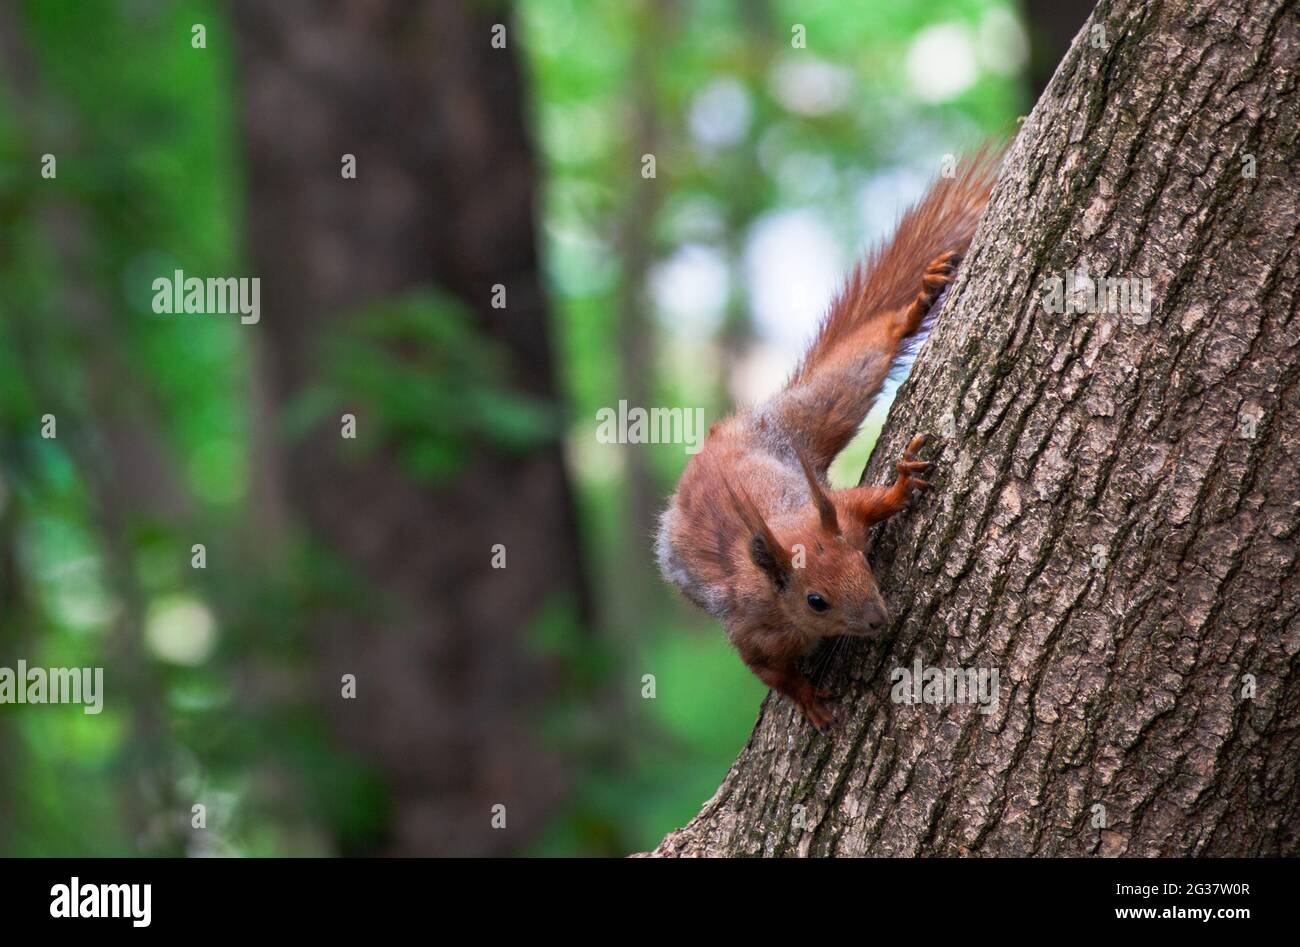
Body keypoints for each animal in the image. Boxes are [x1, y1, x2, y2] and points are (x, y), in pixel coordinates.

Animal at [655, 152, 1000, 732]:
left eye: (861, 561)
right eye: (816, 601)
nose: (878, 619)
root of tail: (725, 435)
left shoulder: (838, 514)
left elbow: (868, 502)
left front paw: (903, 485)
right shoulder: (753, 633)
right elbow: (772, 674)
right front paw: (809, 701)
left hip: (814, 411)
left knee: (862, 360)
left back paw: (918, 301)